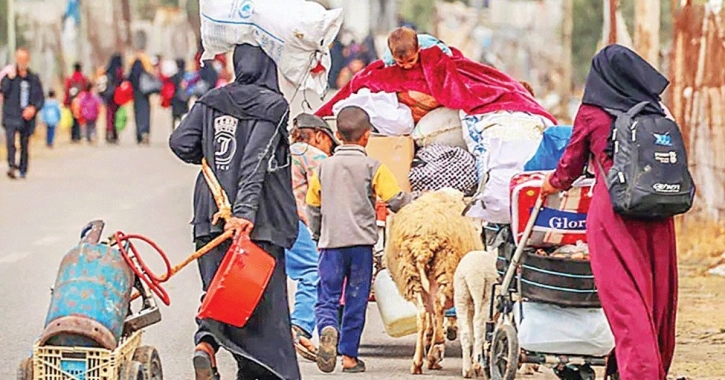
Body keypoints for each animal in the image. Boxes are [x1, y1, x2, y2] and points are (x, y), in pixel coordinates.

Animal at [384, 188, 480, 374]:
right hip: (446, 271)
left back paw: (418, 362)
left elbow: (431, 317)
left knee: (422, 313)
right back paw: (437, 346)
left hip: (410, 276)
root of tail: (423, 244)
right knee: (438, 306)